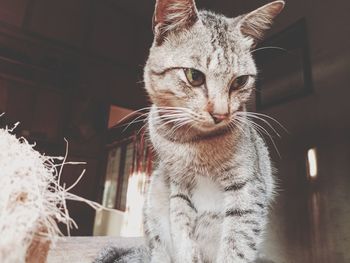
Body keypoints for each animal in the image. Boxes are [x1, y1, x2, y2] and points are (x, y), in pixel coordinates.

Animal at [95, 0, 284, 262]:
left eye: (240, 82)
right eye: (194, 76)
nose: (221, 114)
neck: (193, 143)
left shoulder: (247, 188)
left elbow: (237, 245)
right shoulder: (179, 188)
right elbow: (183, 235)